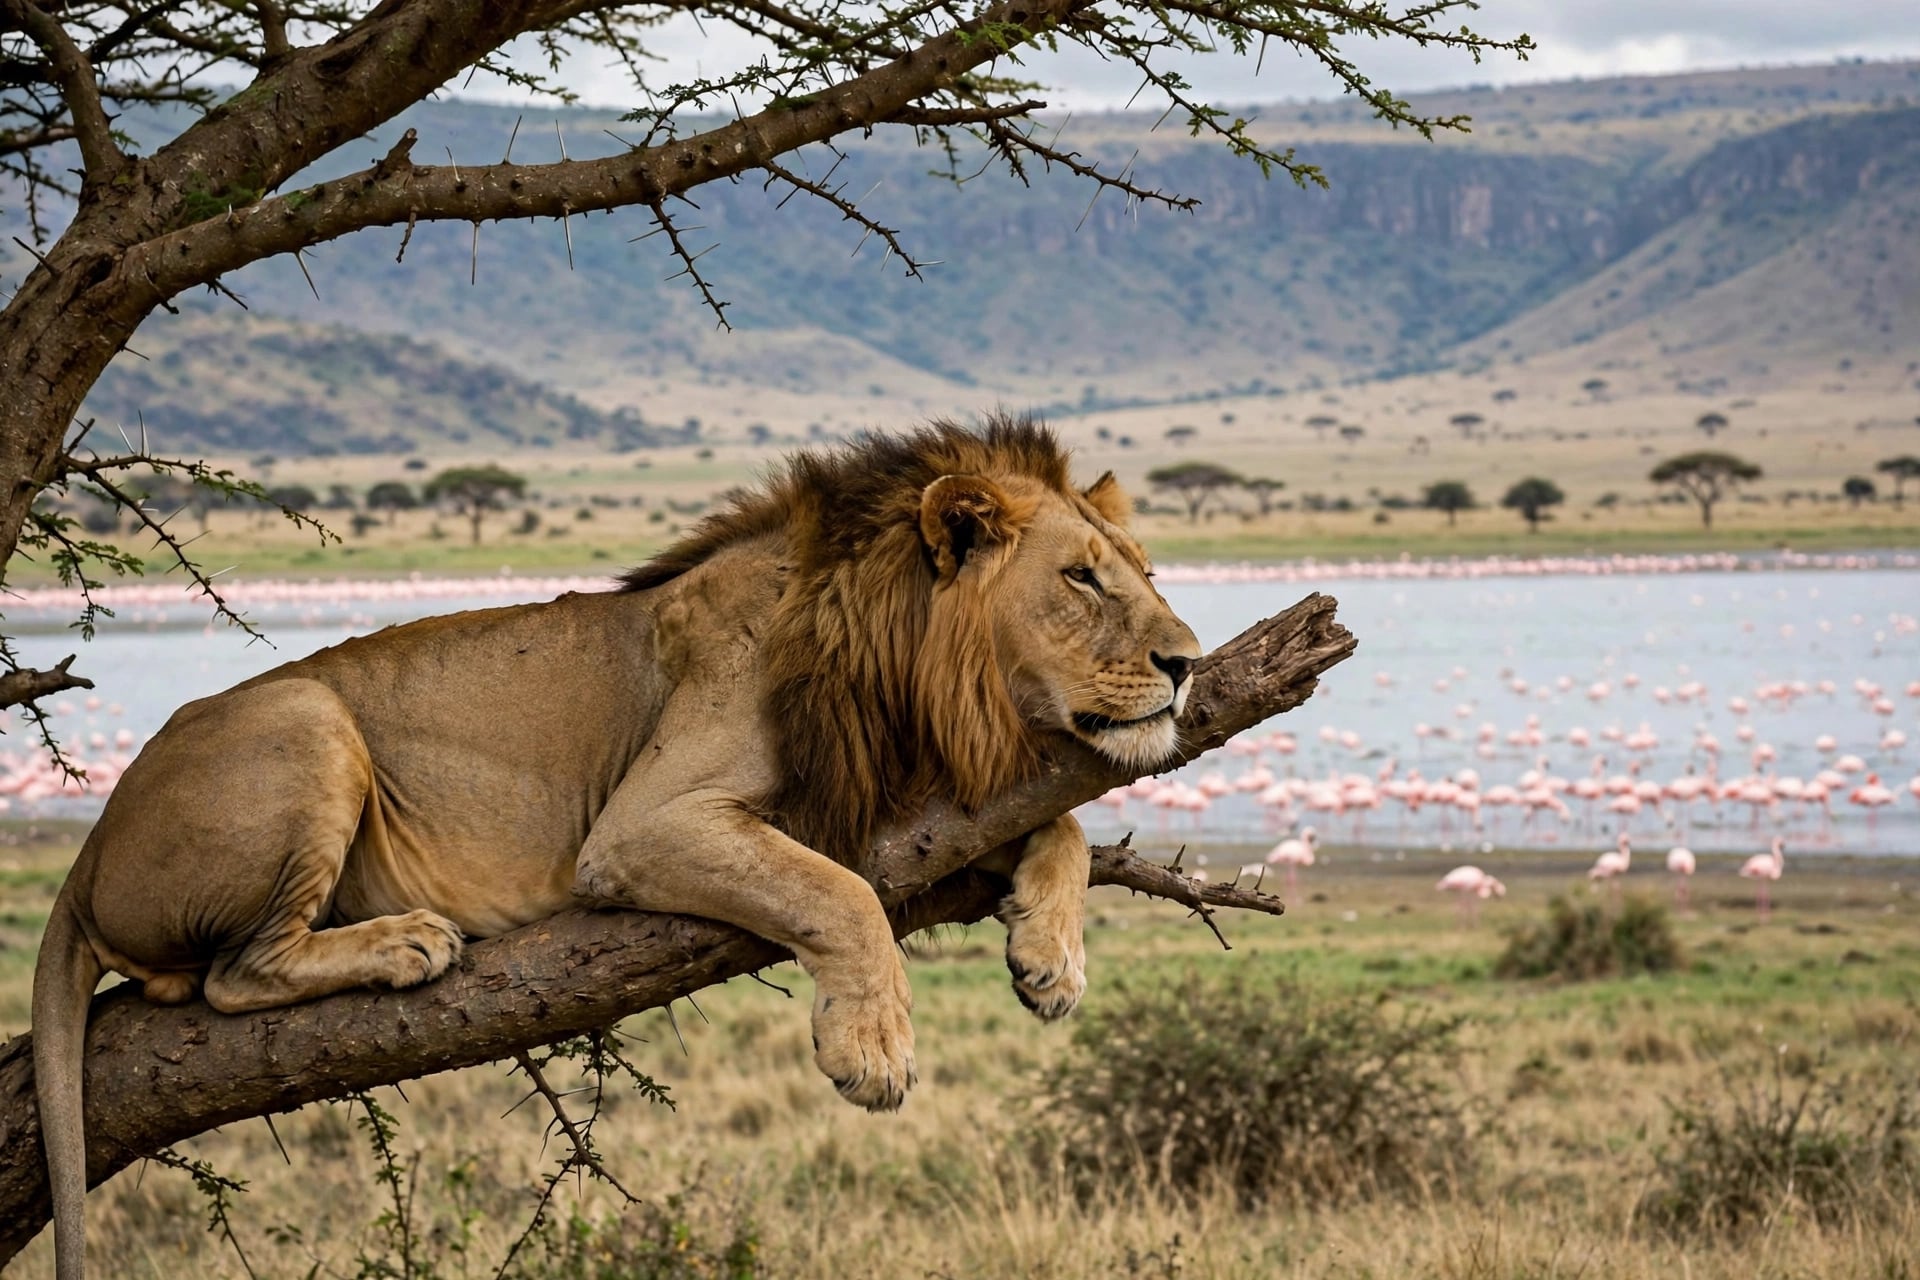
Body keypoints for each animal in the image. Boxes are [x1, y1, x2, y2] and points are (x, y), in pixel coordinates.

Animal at [31, 414, 1202, 1280]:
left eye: (1149, 568)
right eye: (1082, 579)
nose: (1188, 662)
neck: (910, 680)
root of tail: (85, 860)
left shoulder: (913, 803)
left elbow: (1062, 824)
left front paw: (1051, 957)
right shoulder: (647, 824)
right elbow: (838, 893)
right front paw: (871, 1047)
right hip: (308, 716)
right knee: (231, 974)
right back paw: (404, 941)